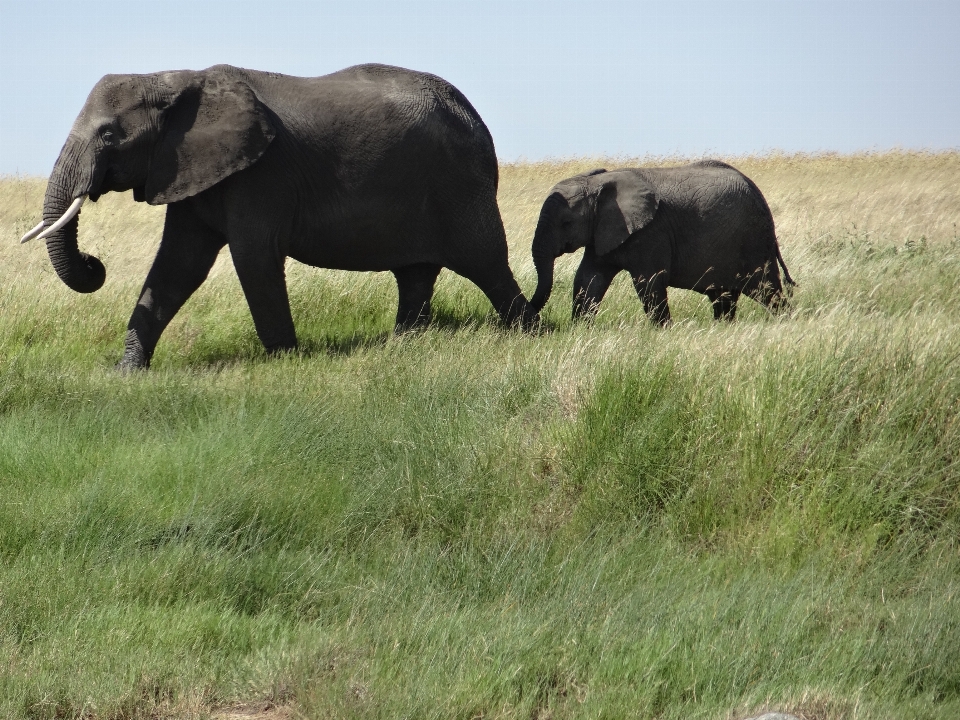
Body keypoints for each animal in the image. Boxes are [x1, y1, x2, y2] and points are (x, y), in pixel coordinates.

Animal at [20, 64, 532, 368]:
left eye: (109, 134)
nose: (94, 262)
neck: (174, 79)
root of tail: (474, 116)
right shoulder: (188, 169)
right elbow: (178, 265)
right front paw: (128, 371)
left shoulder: (260, 174)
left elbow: (253, 258)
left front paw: (287, 361)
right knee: (416, 273)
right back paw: (404, 345)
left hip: (460, 185)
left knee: (486, 262)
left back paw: (526, 331)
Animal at [524, 163, 796, 324]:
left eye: (566, 223)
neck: (598, 182)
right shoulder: (603, 231)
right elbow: (589, 278)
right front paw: (581, 328)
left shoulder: (650, 232)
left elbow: (649, 282)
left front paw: (661, 331)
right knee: (724, 298)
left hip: (754, 241)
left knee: (767, 290)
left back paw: (785, 323)